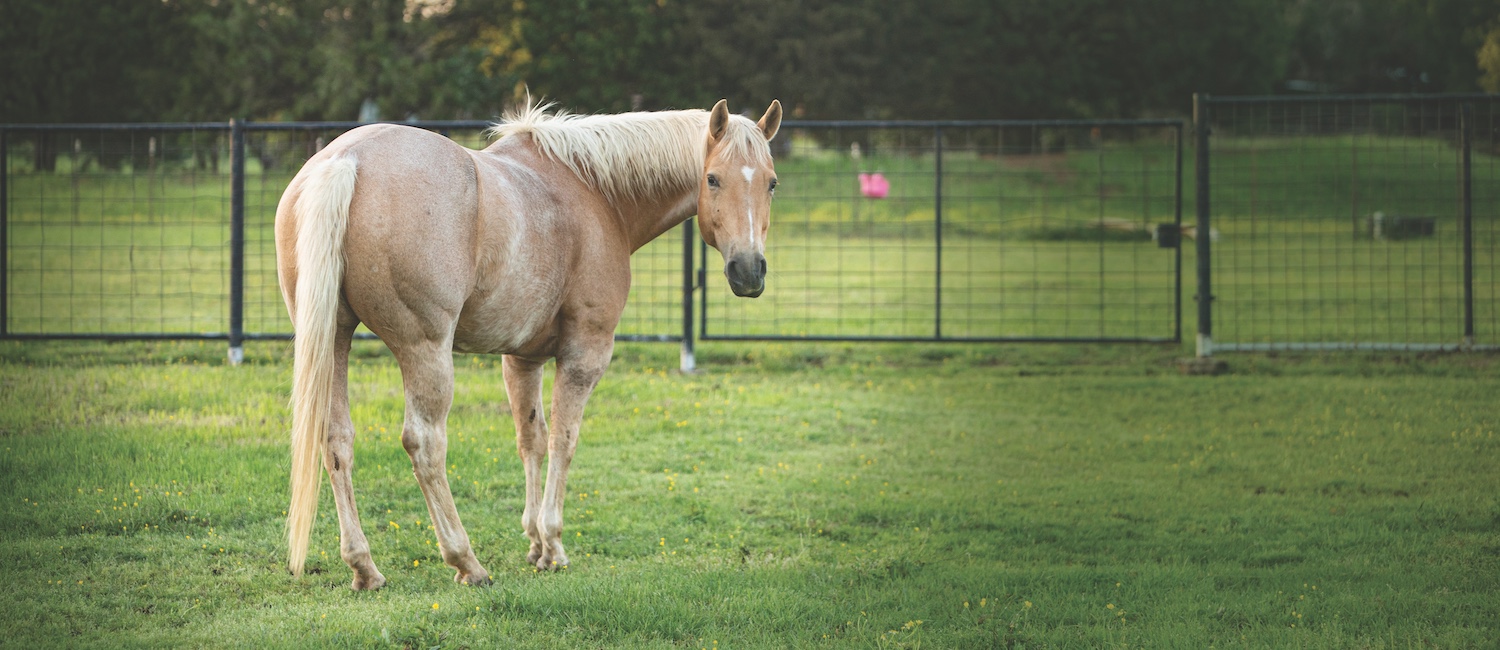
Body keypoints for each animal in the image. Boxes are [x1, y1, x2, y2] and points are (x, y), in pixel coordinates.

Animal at [276, 99, 782, 590]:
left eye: (772, 184)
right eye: (712, 179)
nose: (748, 271)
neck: (595, 192)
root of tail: (345, 161)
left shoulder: (523, 358)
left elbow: (531, 440)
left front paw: (536, 543)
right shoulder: (584, 354)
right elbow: (563, 440)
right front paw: (554, 546)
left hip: (335, 340)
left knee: (336, 440)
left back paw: (365, 568)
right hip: (425, 349)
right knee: (425, 444)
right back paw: (466, 561)